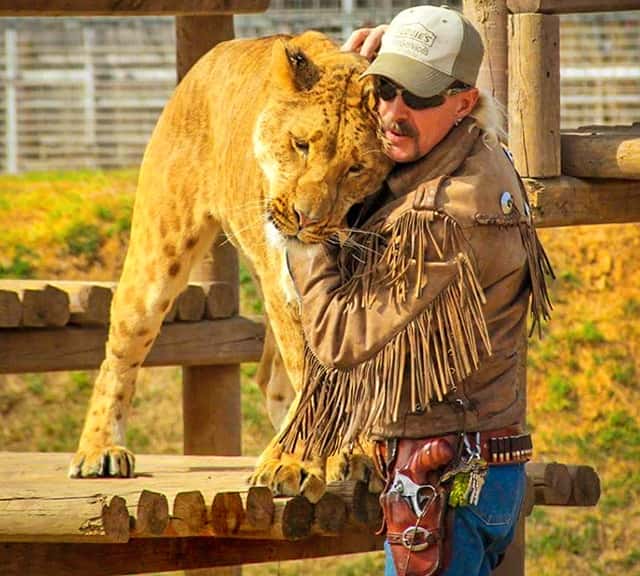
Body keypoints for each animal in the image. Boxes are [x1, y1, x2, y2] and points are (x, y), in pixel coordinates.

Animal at [69, 29, 390, 502]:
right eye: (300, 144)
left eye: (355, 168)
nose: (304, 217)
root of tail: (214, 54)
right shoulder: (293, 293)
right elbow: (315, 377)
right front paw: (298, 460)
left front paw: (349, 452)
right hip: (157, 256)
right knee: (120, 355)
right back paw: (100, 451)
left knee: (272, 377)